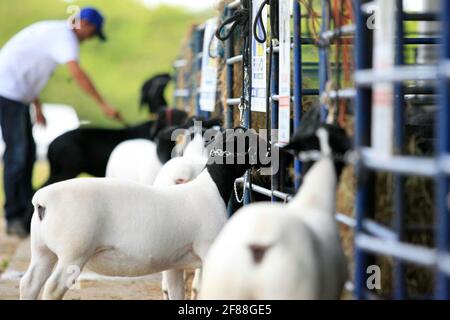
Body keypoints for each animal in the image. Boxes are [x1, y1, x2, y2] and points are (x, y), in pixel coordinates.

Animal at [20, 127, 260, 300]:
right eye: (250, 141)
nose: (268, 152)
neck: (210, 187)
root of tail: (42, 200)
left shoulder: (175, 263)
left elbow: (175, 293)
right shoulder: (208, 251)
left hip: (42, 250)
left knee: (29, 283)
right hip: (74, 251)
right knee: (53, 287)